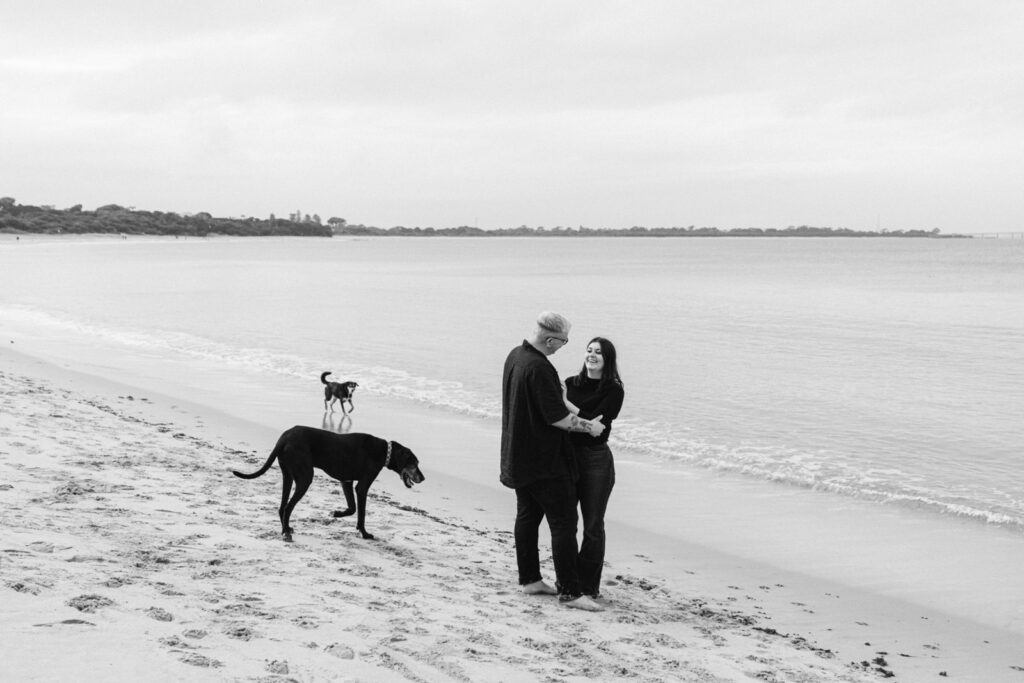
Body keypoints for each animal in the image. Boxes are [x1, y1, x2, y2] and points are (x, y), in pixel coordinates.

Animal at [231, 430, 423, 540]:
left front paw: (337, 513)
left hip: (288, 475)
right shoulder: (362, 487)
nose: (423, 478)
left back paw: (286, 528)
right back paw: (286, 532)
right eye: (414, 463)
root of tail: (284, 438)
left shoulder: (346, 481)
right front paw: (365, 533)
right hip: (305, 478)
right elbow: (361, 513)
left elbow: (352, 508)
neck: (384, 451)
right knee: (287, 507)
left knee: (282, 507)